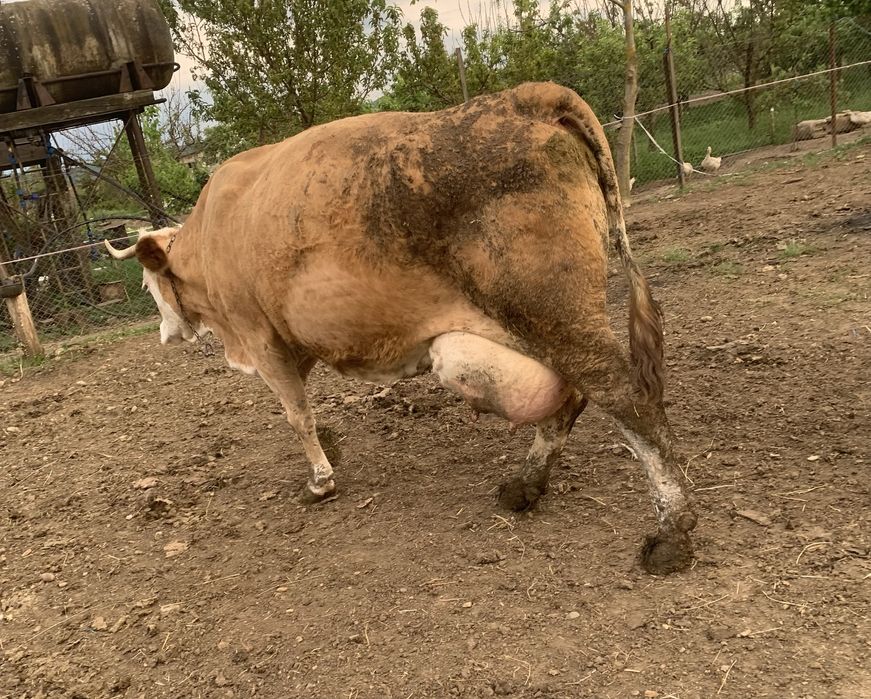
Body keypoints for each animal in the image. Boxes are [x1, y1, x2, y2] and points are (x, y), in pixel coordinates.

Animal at [106, 82, 697, 574]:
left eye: (147, 284)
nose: (164, 334)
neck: (214, 232)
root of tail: (524, 97)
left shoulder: (261, 338)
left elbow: (297, 415)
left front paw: (320, 481)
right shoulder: (294, 339)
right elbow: (307, 408)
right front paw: (331, 449)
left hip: (553, 313)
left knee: (627, 399)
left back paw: (673, 533)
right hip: (541, 324)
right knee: (573, 397)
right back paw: (527, 486)